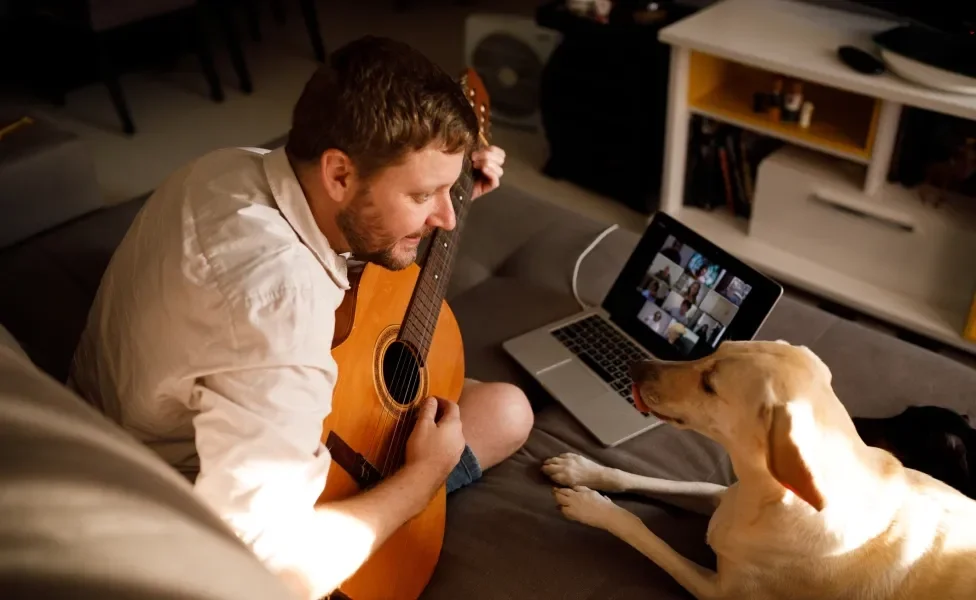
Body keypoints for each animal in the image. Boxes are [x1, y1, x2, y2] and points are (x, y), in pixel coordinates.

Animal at [540, 340, 976, 596]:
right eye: (713, 351)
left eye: (710, 385)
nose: (635, 365)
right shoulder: (724, 494)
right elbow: (648, 479)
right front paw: (581, 470)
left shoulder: (717, 590)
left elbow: (642, 532)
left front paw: (592, 508)